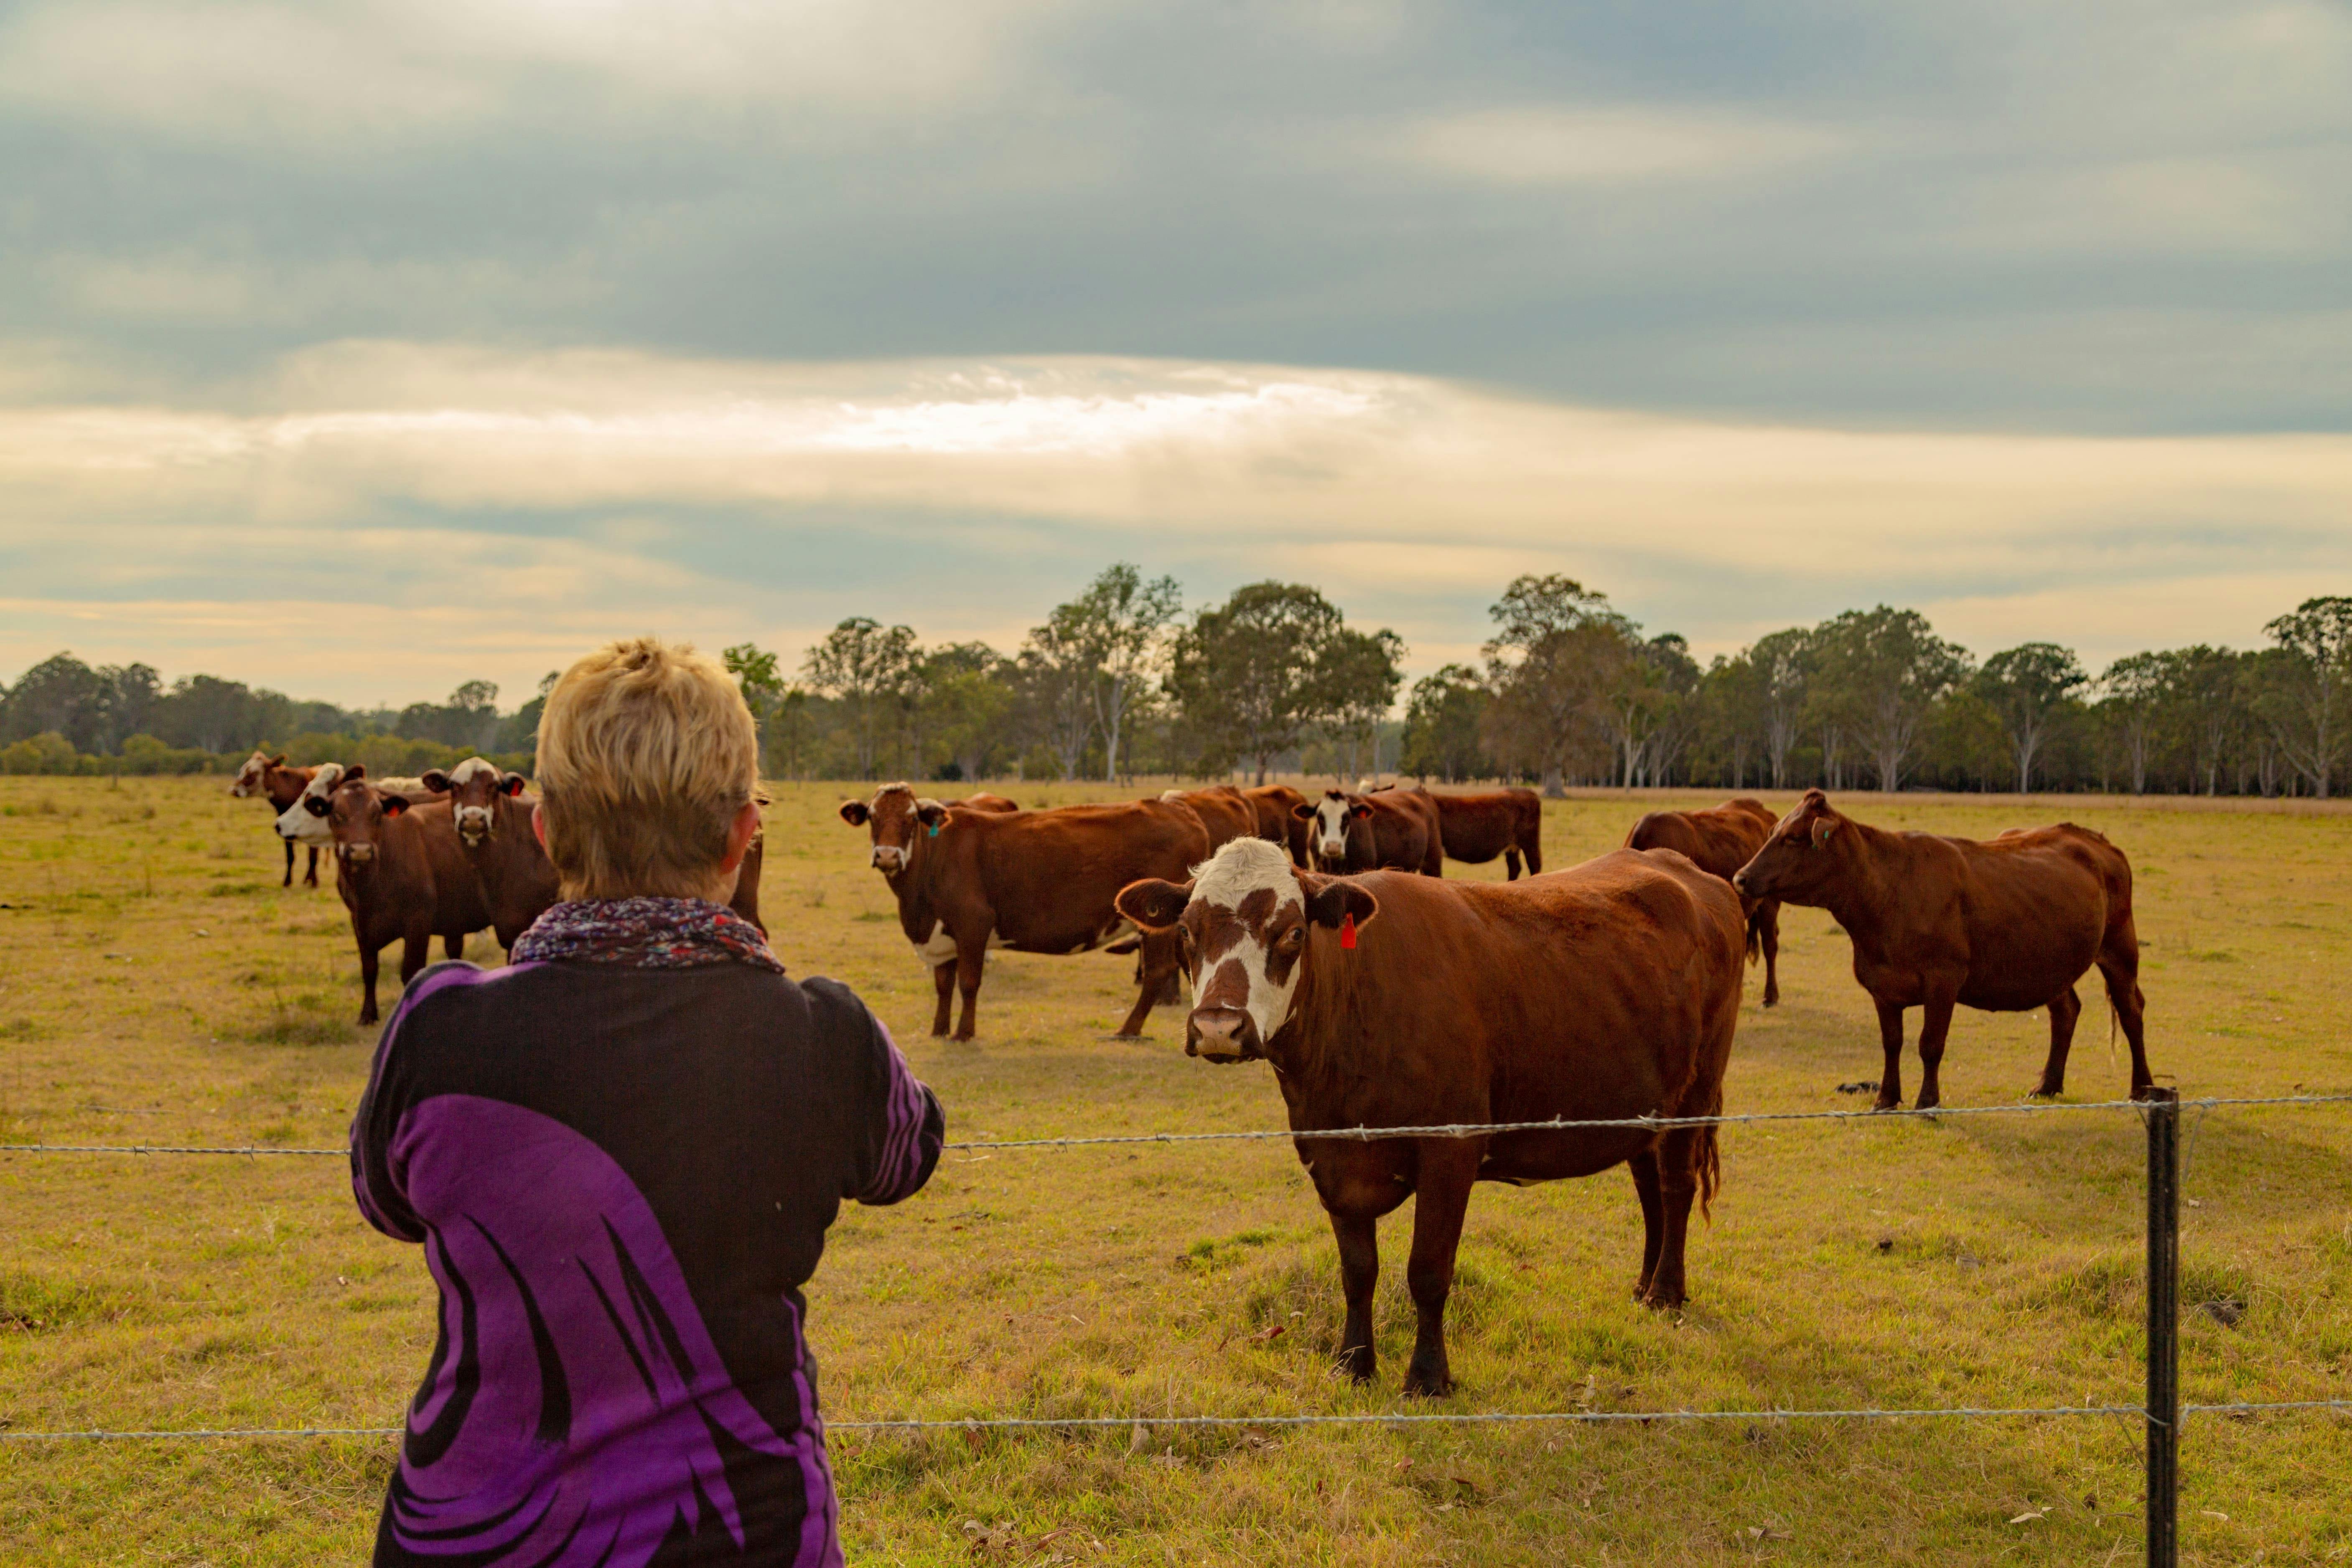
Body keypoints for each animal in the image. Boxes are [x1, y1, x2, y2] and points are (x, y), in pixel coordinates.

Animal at [230, 750, 324, 888]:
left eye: (253, 773)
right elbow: (290, 856)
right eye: (242, 770)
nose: (233, 790)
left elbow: (313, 857)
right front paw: (288, 881)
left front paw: (315, 883)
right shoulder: (285, 829)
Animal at [316, 769, 492, 1025]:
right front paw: (367, 1014)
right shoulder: (359, 921)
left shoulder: (418, 919)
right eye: (337, 814)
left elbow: (411, 970)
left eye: (376, 814)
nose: (360, 851)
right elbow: (369, 969)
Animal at [838, 783, 1209, 1040]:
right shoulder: (941, 936)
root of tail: (1179, 809)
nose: (887, 855)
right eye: (872, 817)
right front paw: (939, 1030)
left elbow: (968, 983)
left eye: (911, 818)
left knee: (1157, 971)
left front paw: (963, 1033)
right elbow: (943, 985)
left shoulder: (973, 924)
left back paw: (1128, 1029)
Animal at [1114, 838, 1744, 1394]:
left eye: (1292, 932)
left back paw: (1666, 1291)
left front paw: (1427, 1377)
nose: (1218, 1026)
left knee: (1676, 1185)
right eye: (1186, 931)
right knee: (1649, 1187)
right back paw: (1644, 1284)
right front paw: (1353, 1363)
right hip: (1645, 1103)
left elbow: (1428, 1270)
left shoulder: (1450, 1149)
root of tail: (1691, 874)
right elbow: (1358, 1271)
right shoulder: (1331, 1157)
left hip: (1695, 1091)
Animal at [1731, 790, 2154, 1109]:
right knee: (2066, 1011)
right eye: (1773, 832)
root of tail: (2094, 840)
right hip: (2051, 962)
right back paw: (2048, 1085)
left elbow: (1930, 1045)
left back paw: (2143, 1089)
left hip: (2120, 946)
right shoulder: (1880, 983)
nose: (1741, 877)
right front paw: (1885, 1099)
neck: (1885, 894)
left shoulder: (1943, 980)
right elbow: (1892, 1043)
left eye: (1794, 838)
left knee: (2131, 1012)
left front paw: (1927, 1102)